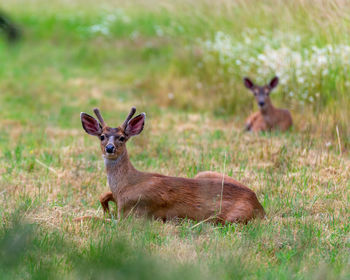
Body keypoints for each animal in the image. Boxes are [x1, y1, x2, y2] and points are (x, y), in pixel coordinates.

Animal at [79, 107, 266, 223]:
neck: (125, 185)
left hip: (231, 218)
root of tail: (259, 207)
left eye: (122, 137)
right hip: (204, 173)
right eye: (102, 136)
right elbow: (103, 196)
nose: (110, 148)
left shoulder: (133, 214)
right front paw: (106, 208)